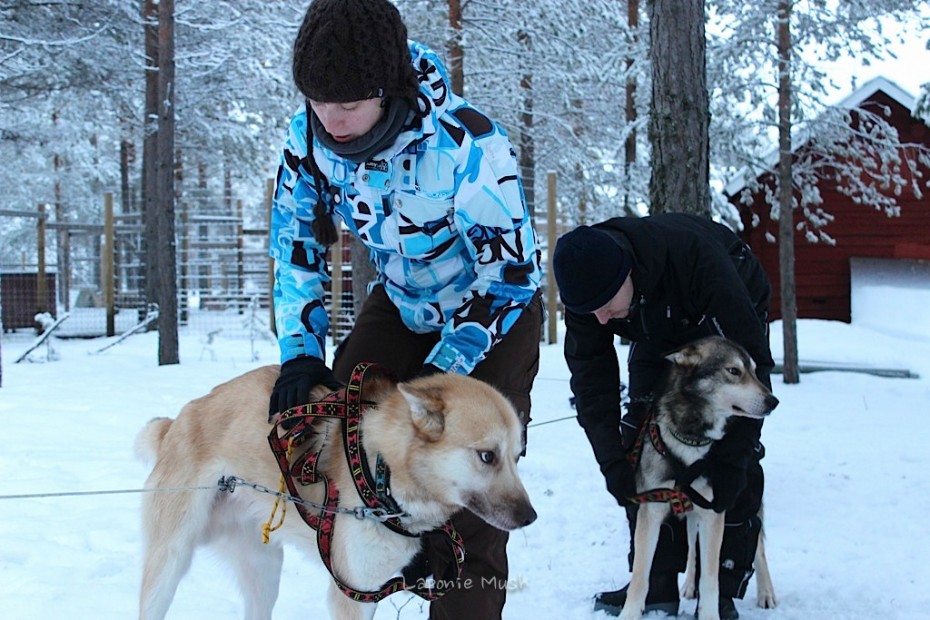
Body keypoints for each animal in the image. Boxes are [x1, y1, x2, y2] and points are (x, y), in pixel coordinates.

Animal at [134, 366, 532, 616]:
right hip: (169, 564)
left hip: (265, 570)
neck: (379, 470)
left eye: (516, 456)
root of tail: (178, 421)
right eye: (487, 456)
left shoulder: (371, 588)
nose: (530, 517)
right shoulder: (352, 596)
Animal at [620, 340, 780, 620]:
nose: (773, 401)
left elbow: (711, 578)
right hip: (690, 513)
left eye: (754, 370)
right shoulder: (651, 509)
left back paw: (766, 592)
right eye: (733, 371)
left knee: (757, 544)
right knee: (692, 549)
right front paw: (629, 613)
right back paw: (688, 585)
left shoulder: (713, 513)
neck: (690, 440)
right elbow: (641, 574)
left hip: (745, 501)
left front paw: (709, 614)